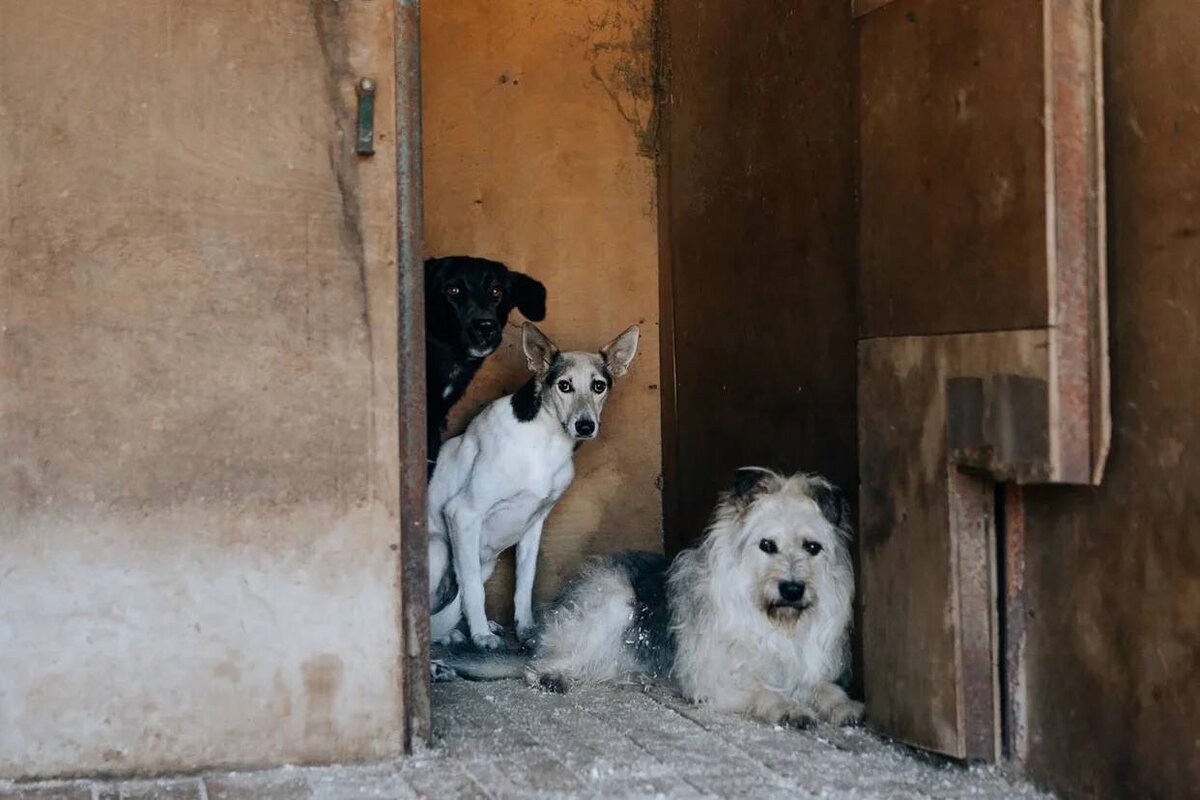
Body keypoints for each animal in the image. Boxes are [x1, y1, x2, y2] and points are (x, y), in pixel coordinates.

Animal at [429, 319, 643, 662]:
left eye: (599, 386)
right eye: (564, 386)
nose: (585, 426)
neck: (545, 440)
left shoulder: (534, 525)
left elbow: (524, 584)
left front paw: (526, 629)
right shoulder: (463, 514)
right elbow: (473, 589)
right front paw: (481, 635)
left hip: (486, 561)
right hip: (439, 549)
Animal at [439, 465, 864, 729]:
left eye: (812, 547)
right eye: (767, 545)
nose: (792, 588)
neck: (773, 620)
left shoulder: (802, 668)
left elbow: (822, 687)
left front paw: (842, 705)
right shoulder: (713, 680)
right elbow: (763, 690)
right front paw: (787, 708)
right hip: (612, 602)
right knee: (539, 662)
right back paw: (551, 675)